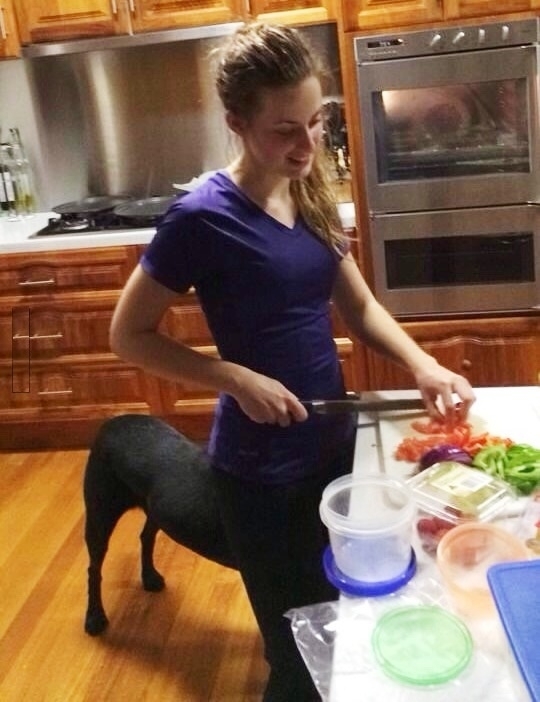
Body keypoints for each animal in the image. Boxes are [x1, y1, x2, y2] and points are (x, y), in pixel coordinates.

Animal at [83, 412, 235, 640]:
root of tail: (113, 421)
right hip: (99, 516)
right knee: (94, 569)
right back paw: (94, 617)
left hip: (155, 511)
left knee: (146, 536)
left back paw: (149, 577)